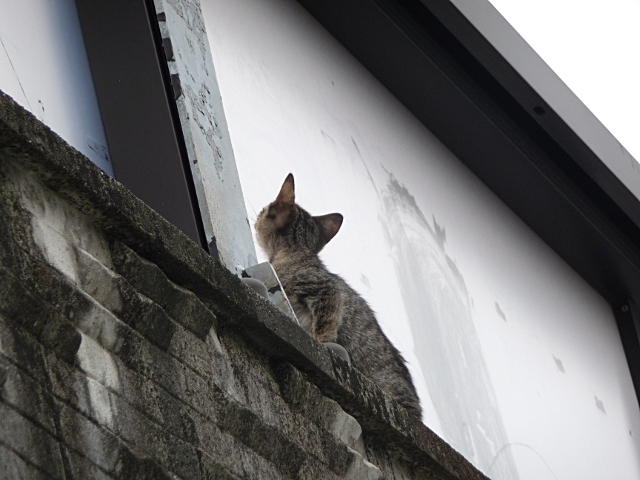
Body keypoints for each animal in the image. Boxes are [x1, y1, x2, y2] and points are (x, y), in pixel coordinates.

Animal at [255, 173, 422, 420]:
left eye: (265, 209)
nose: (257, 216)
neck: (296, 250)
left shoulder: (326, 290)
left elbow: (325, 326)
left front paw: (320, 341)